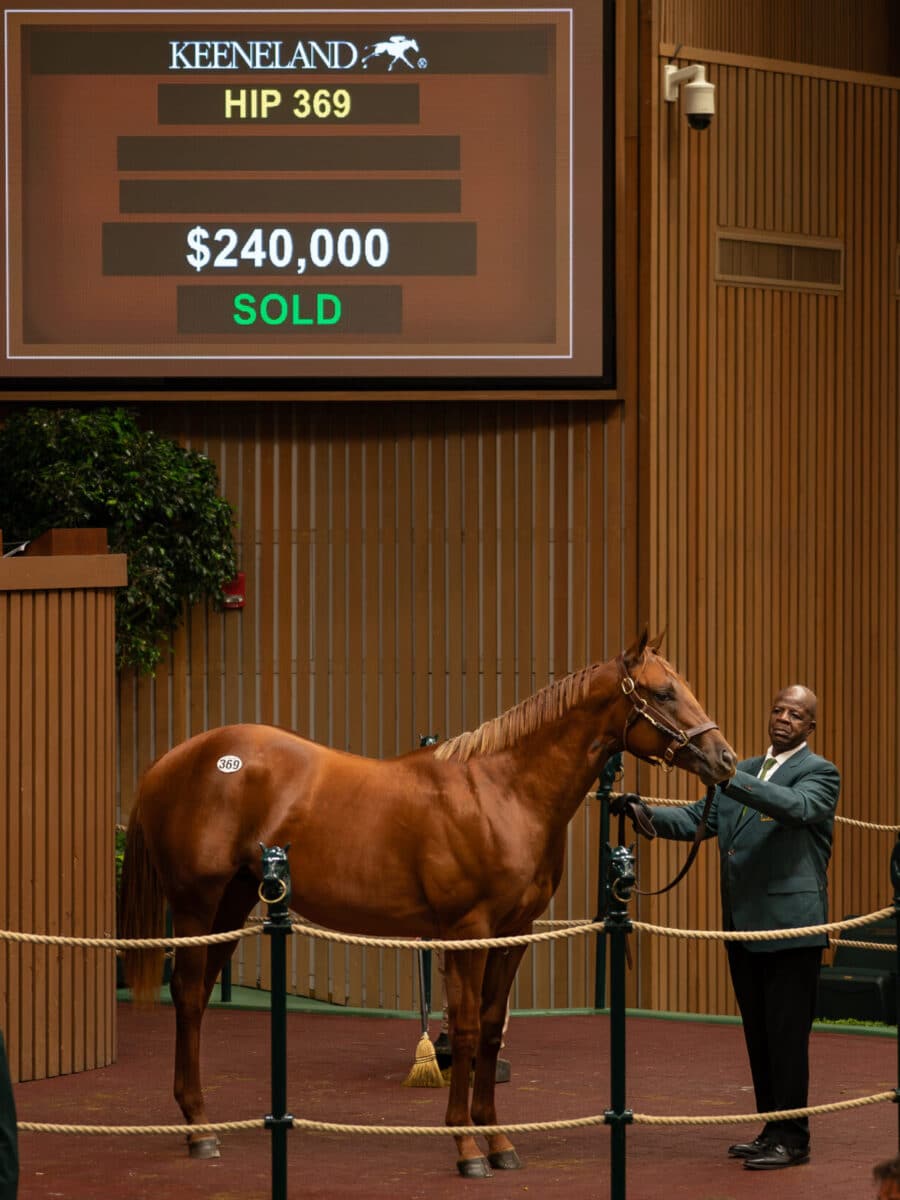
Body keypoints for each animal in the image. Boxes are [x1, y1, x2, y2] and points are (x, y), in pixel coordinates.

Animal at [120, 633, 734, 1176]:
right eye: (662, 693)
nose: (724, 760)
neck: (503, 791)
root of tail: (171, 762)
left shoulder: (515, 933)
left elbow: (490, 1028)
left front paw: (499, 1141)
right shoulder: (468, 933)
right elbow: (461, 1030)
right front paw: (465, 1147)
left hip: (232, 905)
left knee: (197, 998)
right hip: (196, 907)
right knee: (189, 996)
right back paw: (200, 1131)